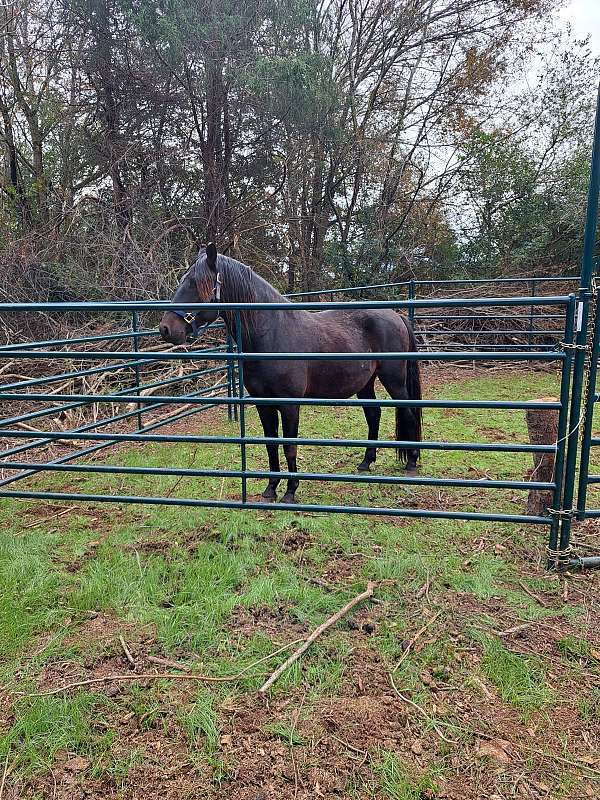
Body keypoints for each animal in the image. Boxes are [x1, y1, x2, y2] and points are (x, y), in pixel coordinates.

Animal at [159, 244, 422, 504]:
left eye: (195, 283)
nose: (166, 329)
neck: (272, 333)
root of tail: (396, 315)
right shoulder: (263, 403)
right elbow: (271, 445)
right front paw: (270, 489)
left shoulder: (289, 404)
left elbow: (289, 446)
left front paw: (290, 491)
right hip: (365, 384)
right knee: (374, 414)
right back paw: (366, 462)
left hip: (394, 381)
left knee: (408, 412)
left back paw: (411, 462)